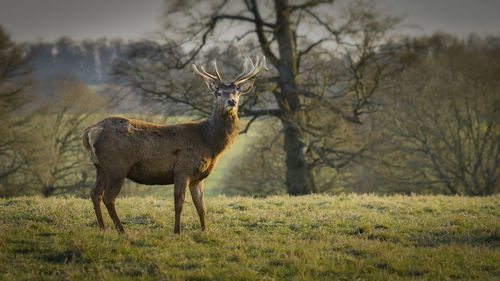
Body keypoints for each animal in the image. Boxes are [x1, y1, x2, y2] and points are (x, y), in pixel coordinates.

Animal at [83, 55, 270, 233]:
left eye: (237, 93)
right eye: (218, 93)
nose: (232, 102)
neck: (208, 142)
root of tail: (91, 131)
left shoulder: (197, 177)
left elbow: (201, 206)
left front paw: (204, 230)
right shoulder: (182, 169)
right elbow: (179, 204)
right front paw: (177, 232)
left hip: (101, 167)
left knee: (94, 194)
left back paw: (103, 228)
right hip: (117, 166)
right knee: (108, 197)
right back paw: (121, 230)